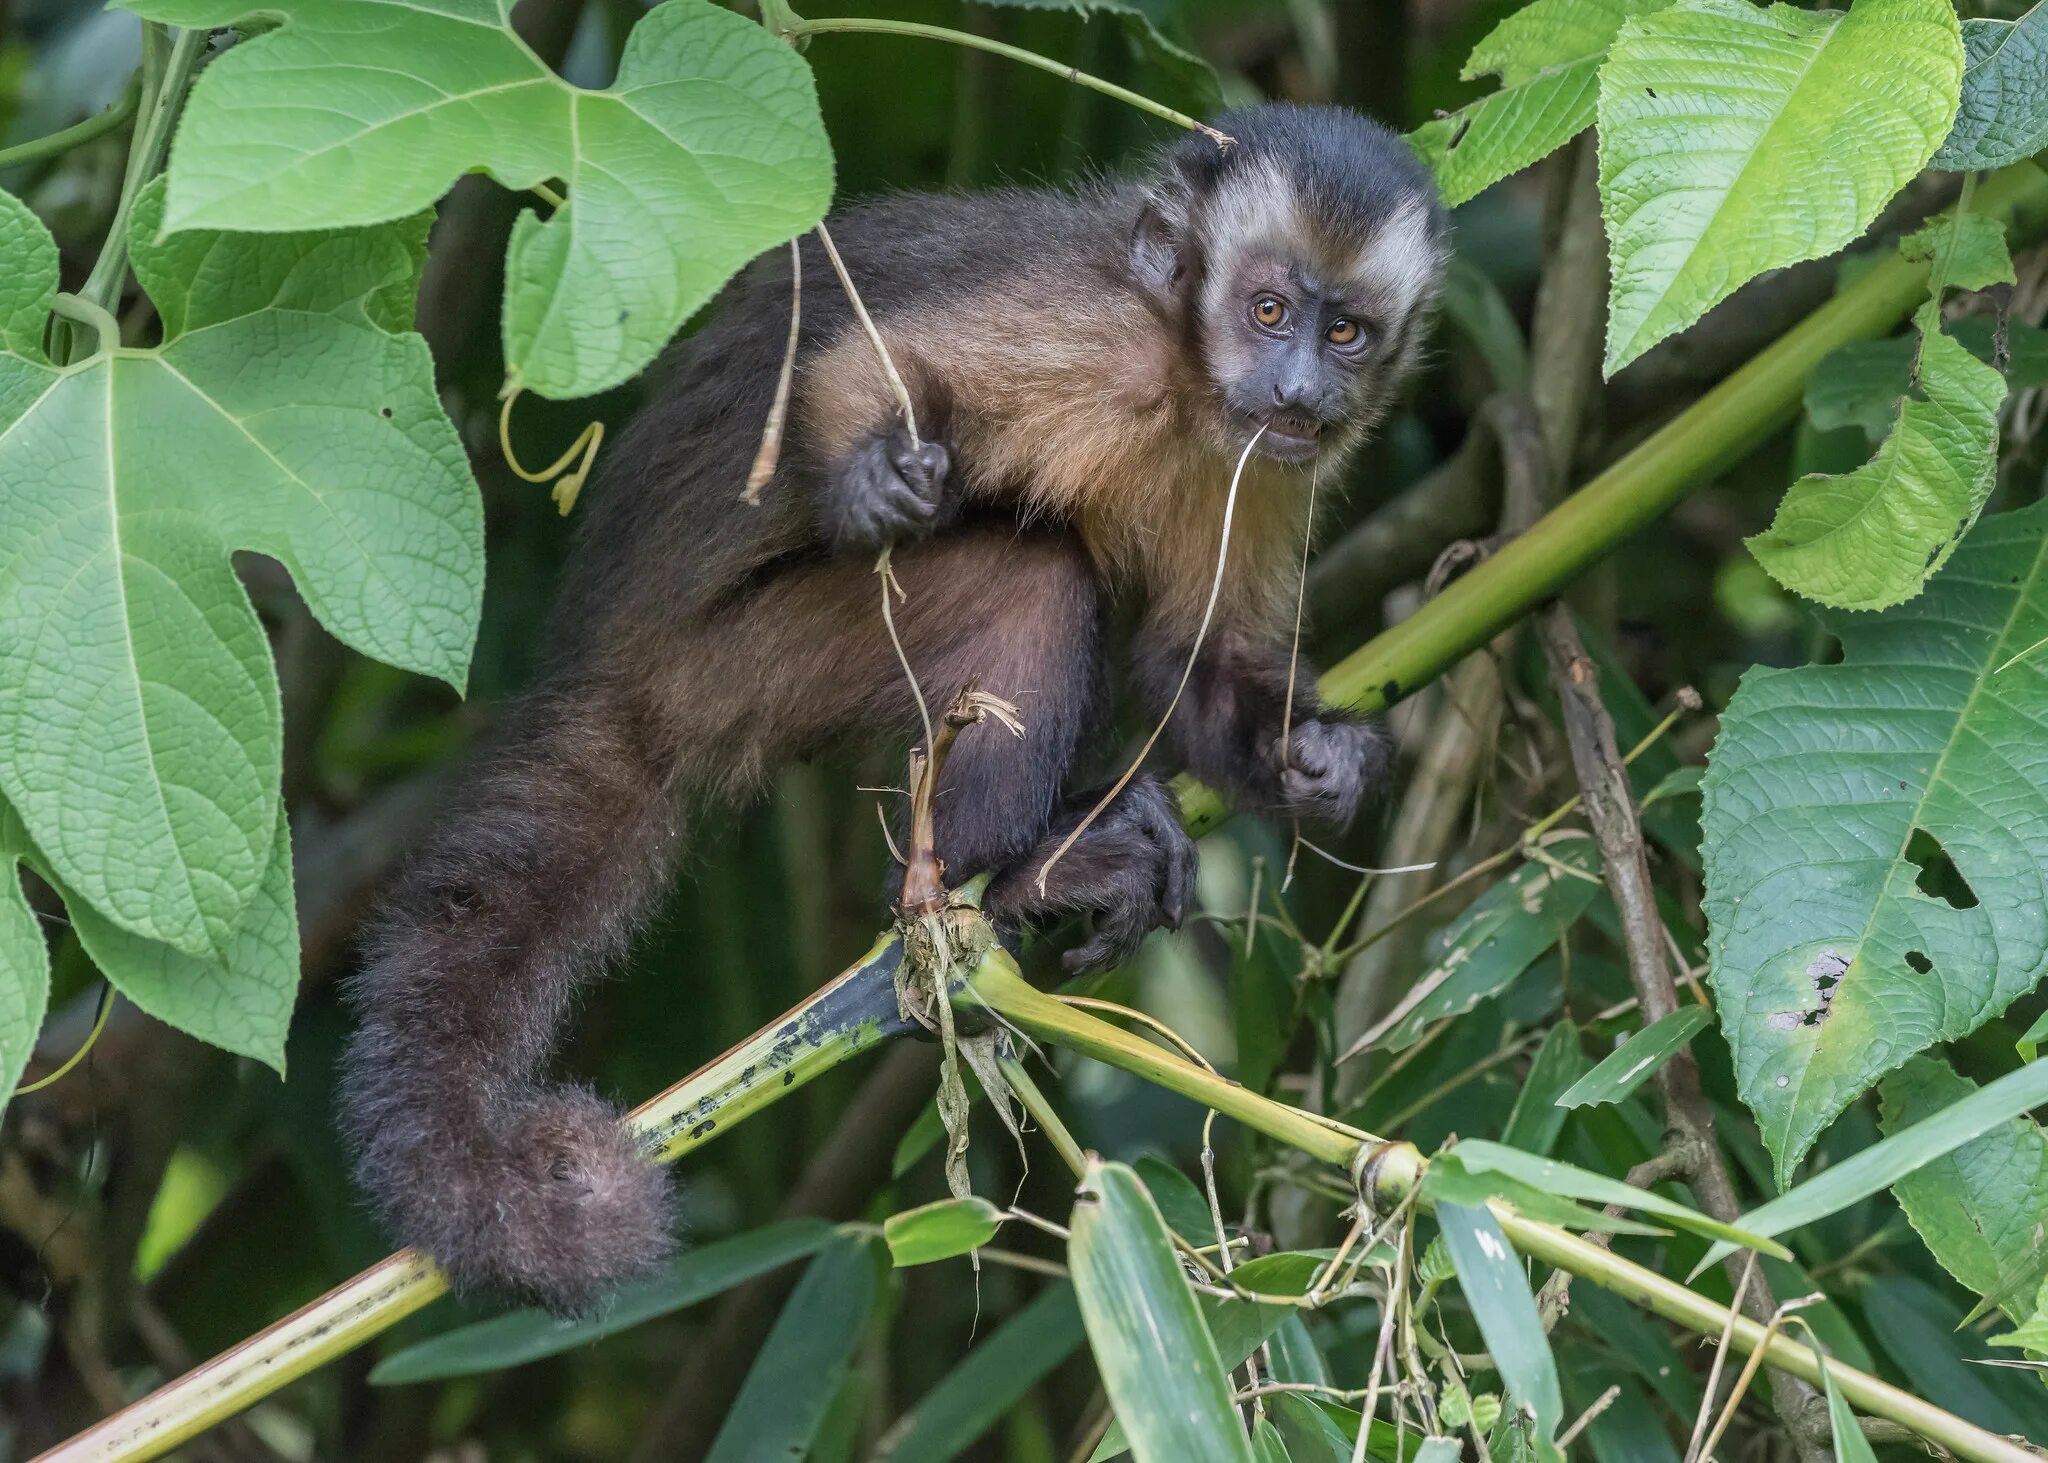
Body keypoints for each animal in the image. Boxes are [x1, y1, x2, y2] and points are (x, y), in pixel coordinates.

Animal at [344, 105, 1449, 1311]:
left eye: (1344, 332)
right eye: (1267, 311)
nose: (1298, 389)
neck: (1186, 385)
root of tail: (618, 664)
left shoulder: (1273, 464)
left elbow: (1192, 665)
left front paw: (1321, 760)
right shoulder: (1098, 338)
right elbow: (858, 377)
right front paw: (874, 474)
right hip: (744, 663)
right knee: (1031, 581)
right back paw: (997, 888)